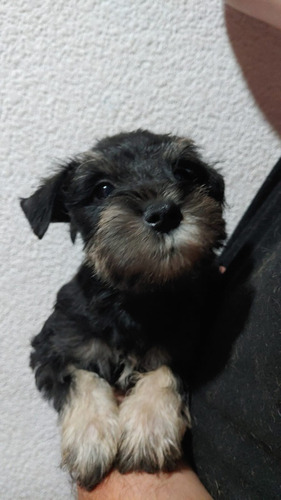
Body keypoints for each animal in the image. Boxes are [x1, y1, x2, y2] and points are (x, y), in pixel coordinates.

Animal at [20, 130, 224, 492]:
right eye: (102, 188)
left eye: (185, 172)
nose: (164, 213)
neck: (136, 297)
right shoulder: (52, 349)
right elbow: (82, 378)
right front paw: (90, 439)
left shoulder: (186, 345)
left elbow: (165, 371)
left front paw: (149, 427)